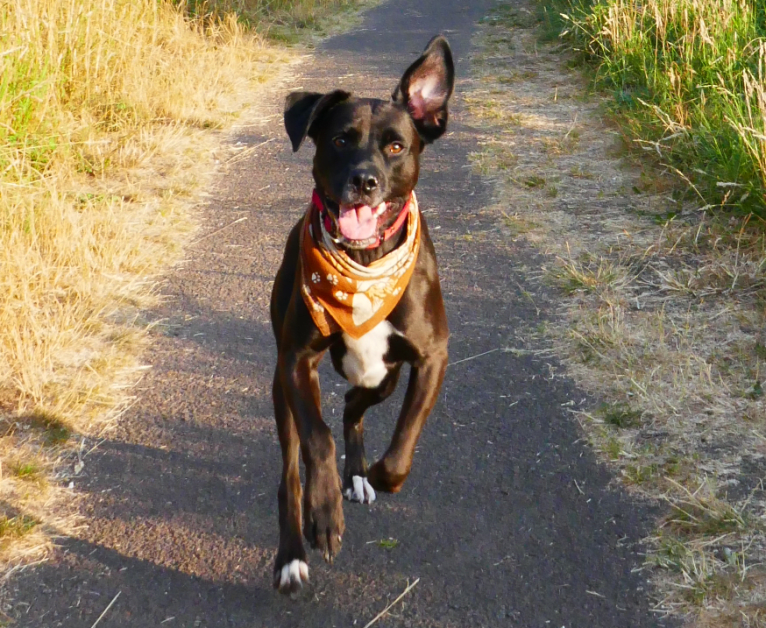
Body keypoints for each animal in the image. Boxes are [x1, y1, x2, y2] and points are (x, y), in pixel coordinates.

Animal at [270, 34, 452, 592]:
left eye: (396, 146)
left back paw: (357, 477)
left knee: (354, 405)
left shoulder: (431, 358)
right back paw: (293, 548)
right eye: (339, 140)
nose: (364, 181)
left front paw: (372, 476)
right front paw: (325, 513)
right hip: (281, 388)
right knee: (291, 471)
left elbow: (401, 451)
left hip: (383, 377)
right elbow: (318, 440)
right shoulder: (295, 361)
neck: (366, 263)